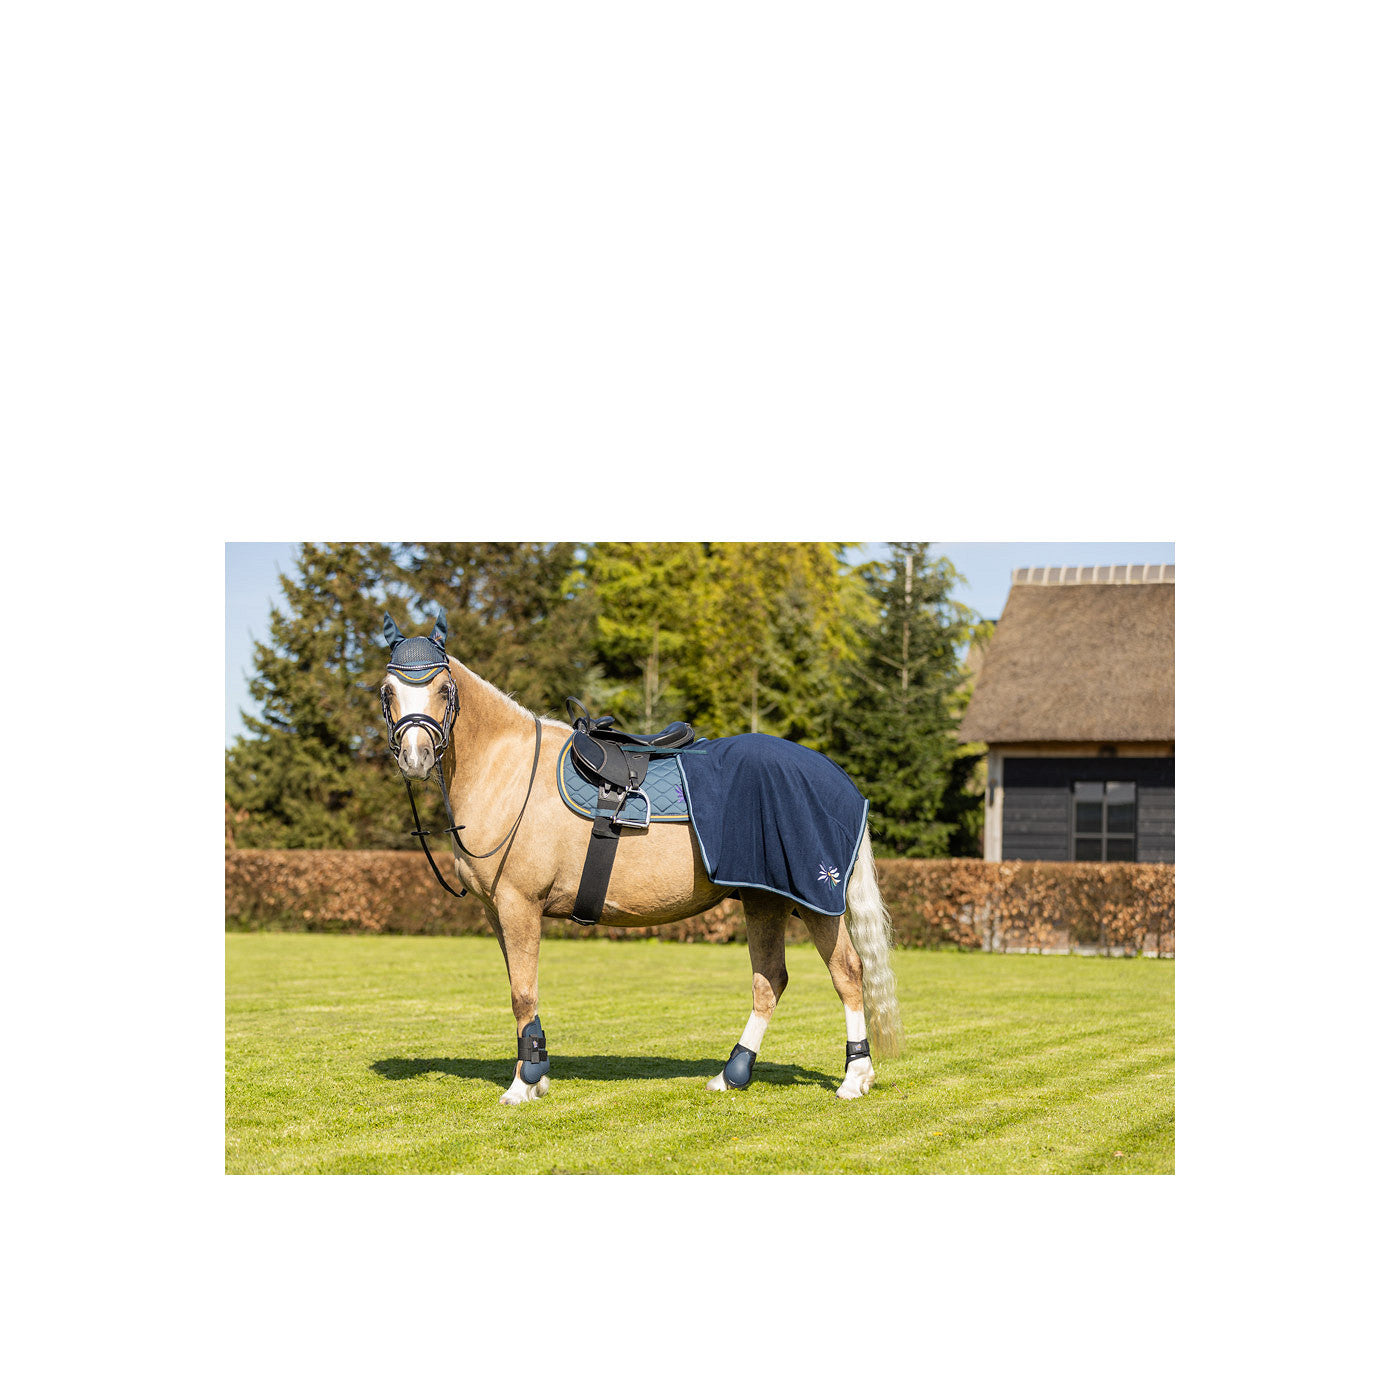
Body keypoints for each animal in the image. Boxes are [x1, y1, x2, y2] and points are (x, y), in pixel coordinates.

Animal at [379, 608, 902, 1106]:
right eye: (388, 691)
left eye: (444, 688)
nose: (415, 757)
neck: (509, 770)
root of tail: (838, 777)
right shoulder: (497, 913)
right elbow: (520, 991)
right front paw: (537, 1074)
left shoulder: (518, 905)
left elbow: (522, 994)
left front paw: (522, 1084)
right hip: (765, 900)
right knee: (770, 980)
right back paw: (731, 1075)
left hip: (816, 900)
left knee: (847, 973)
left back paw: (855, 1077)